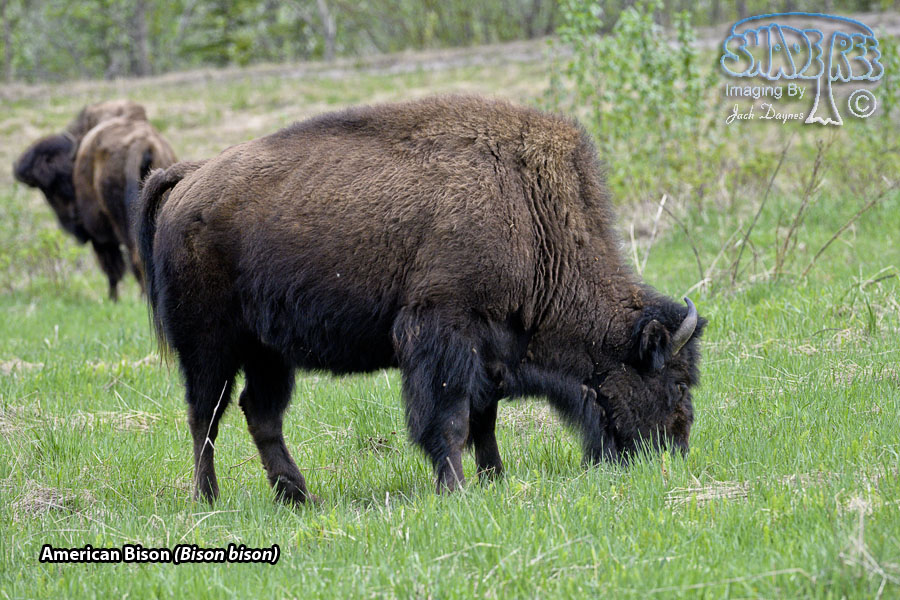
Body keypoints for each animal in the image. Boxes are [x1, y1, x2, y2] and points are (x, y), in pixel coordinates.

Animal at [13, 101, 176, 299]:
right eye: (46, 189)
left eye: (56, 186)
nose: (72, 217)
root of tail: (143, 144)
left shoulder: (100, 237)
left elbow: (113, 270)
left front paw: (113, 299)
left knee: (135, 259)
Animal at [138, 96, 706, 504]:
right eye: (677, 383)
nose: (676, 451)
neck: (529, 214)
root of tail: (189, 178)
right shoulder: (444, 335)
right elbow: (450, 418)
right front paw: (455, 489)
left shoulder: (488, 353)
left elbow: (483, 420)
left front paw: (494, 479)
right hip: (209, 345)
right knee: (205, 415)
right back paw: (208, 499)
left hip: (268, 353)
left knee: (260, 413)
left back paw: (298, 498)